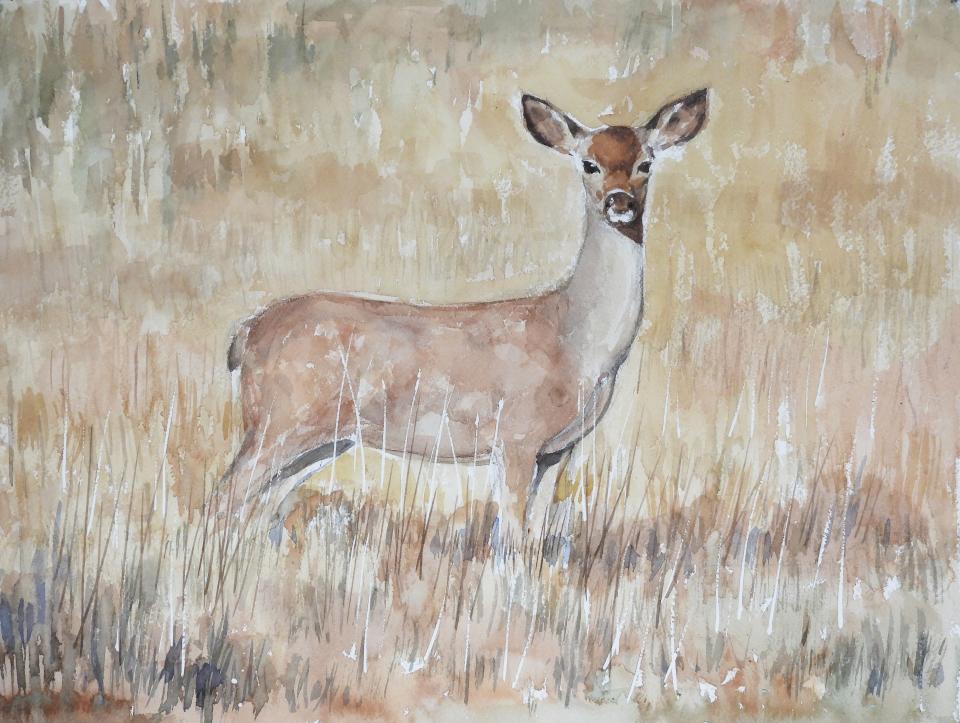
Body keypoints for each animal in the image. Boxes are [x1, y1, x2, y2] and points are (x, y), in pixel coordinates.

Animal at [218, 88, 709, 546]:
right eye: (589, 164)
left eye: (646, 163)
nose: (620, 202)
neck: (578, 344)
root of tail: (244, 334)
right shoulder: (515, 437)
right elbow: (511, 536)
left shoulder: (560, 449)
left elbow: (536, 534)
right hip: (280, 419)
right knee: (229, 489)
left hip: (325, 437)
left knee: (260, 506)